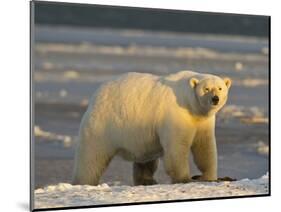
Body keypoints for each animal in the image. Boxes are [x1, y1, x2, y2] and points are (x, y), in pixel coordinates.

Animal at [71, 70, 230, 185]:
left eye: (220, 88)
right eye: (206, 89)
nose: (215, 99)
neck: (189, 103)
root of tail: (96, 95)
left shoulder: (203, 121)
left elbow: (205, 147)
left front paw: (210, 176)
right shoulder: (176, 115)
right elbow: (177, 148)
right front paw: (185, 178)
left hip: (141, 135)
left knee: (146, 160)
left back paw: (148, 180)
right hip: (103, 125)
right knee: (92, 156)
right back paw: (83, 181)